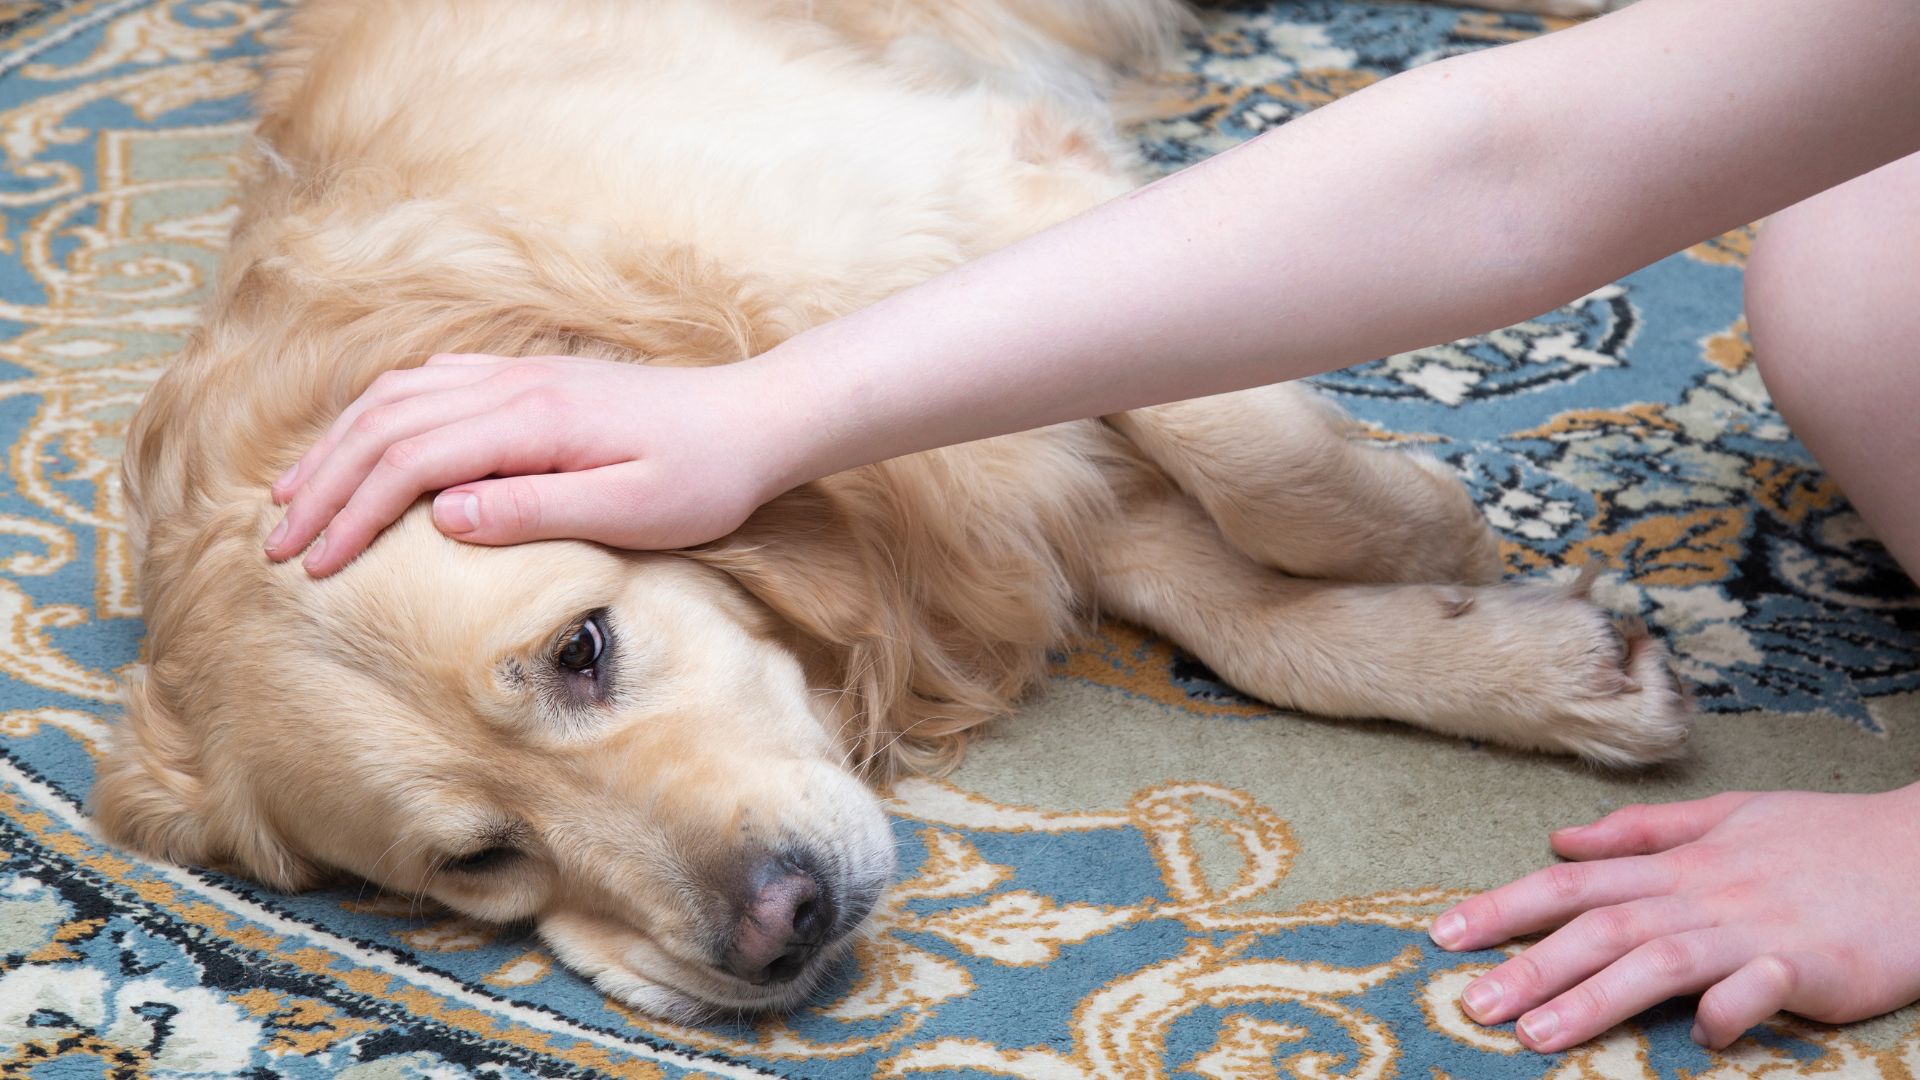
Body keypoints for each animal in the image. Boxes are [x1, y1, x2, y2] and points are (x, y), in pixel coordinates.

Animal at [97, 0, 1689, 1014]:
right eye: (474, 858)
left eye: (581, 650)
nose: (776, 928)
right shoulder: (993, 492)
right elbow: (1240, 612)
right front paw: (1534, 663)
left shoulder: (986, 191)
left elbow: (1240, 442)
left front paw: (1421, 516)